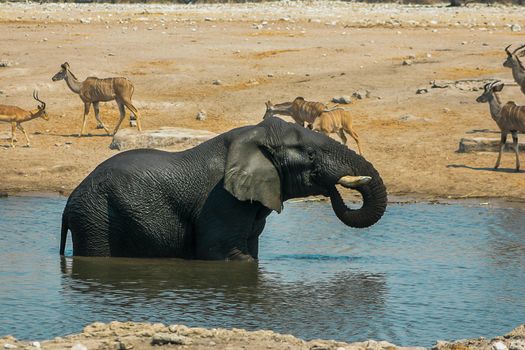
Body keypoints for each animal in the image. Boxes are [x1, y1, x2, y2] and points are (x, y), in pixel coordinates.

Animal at [59, 117, 386, 260]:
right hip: (95, 217)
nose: (333, 187)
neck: (254, 136)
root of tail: (70, 200)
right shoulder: (221, 203)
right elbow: (227, 255)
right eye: (310, 156)